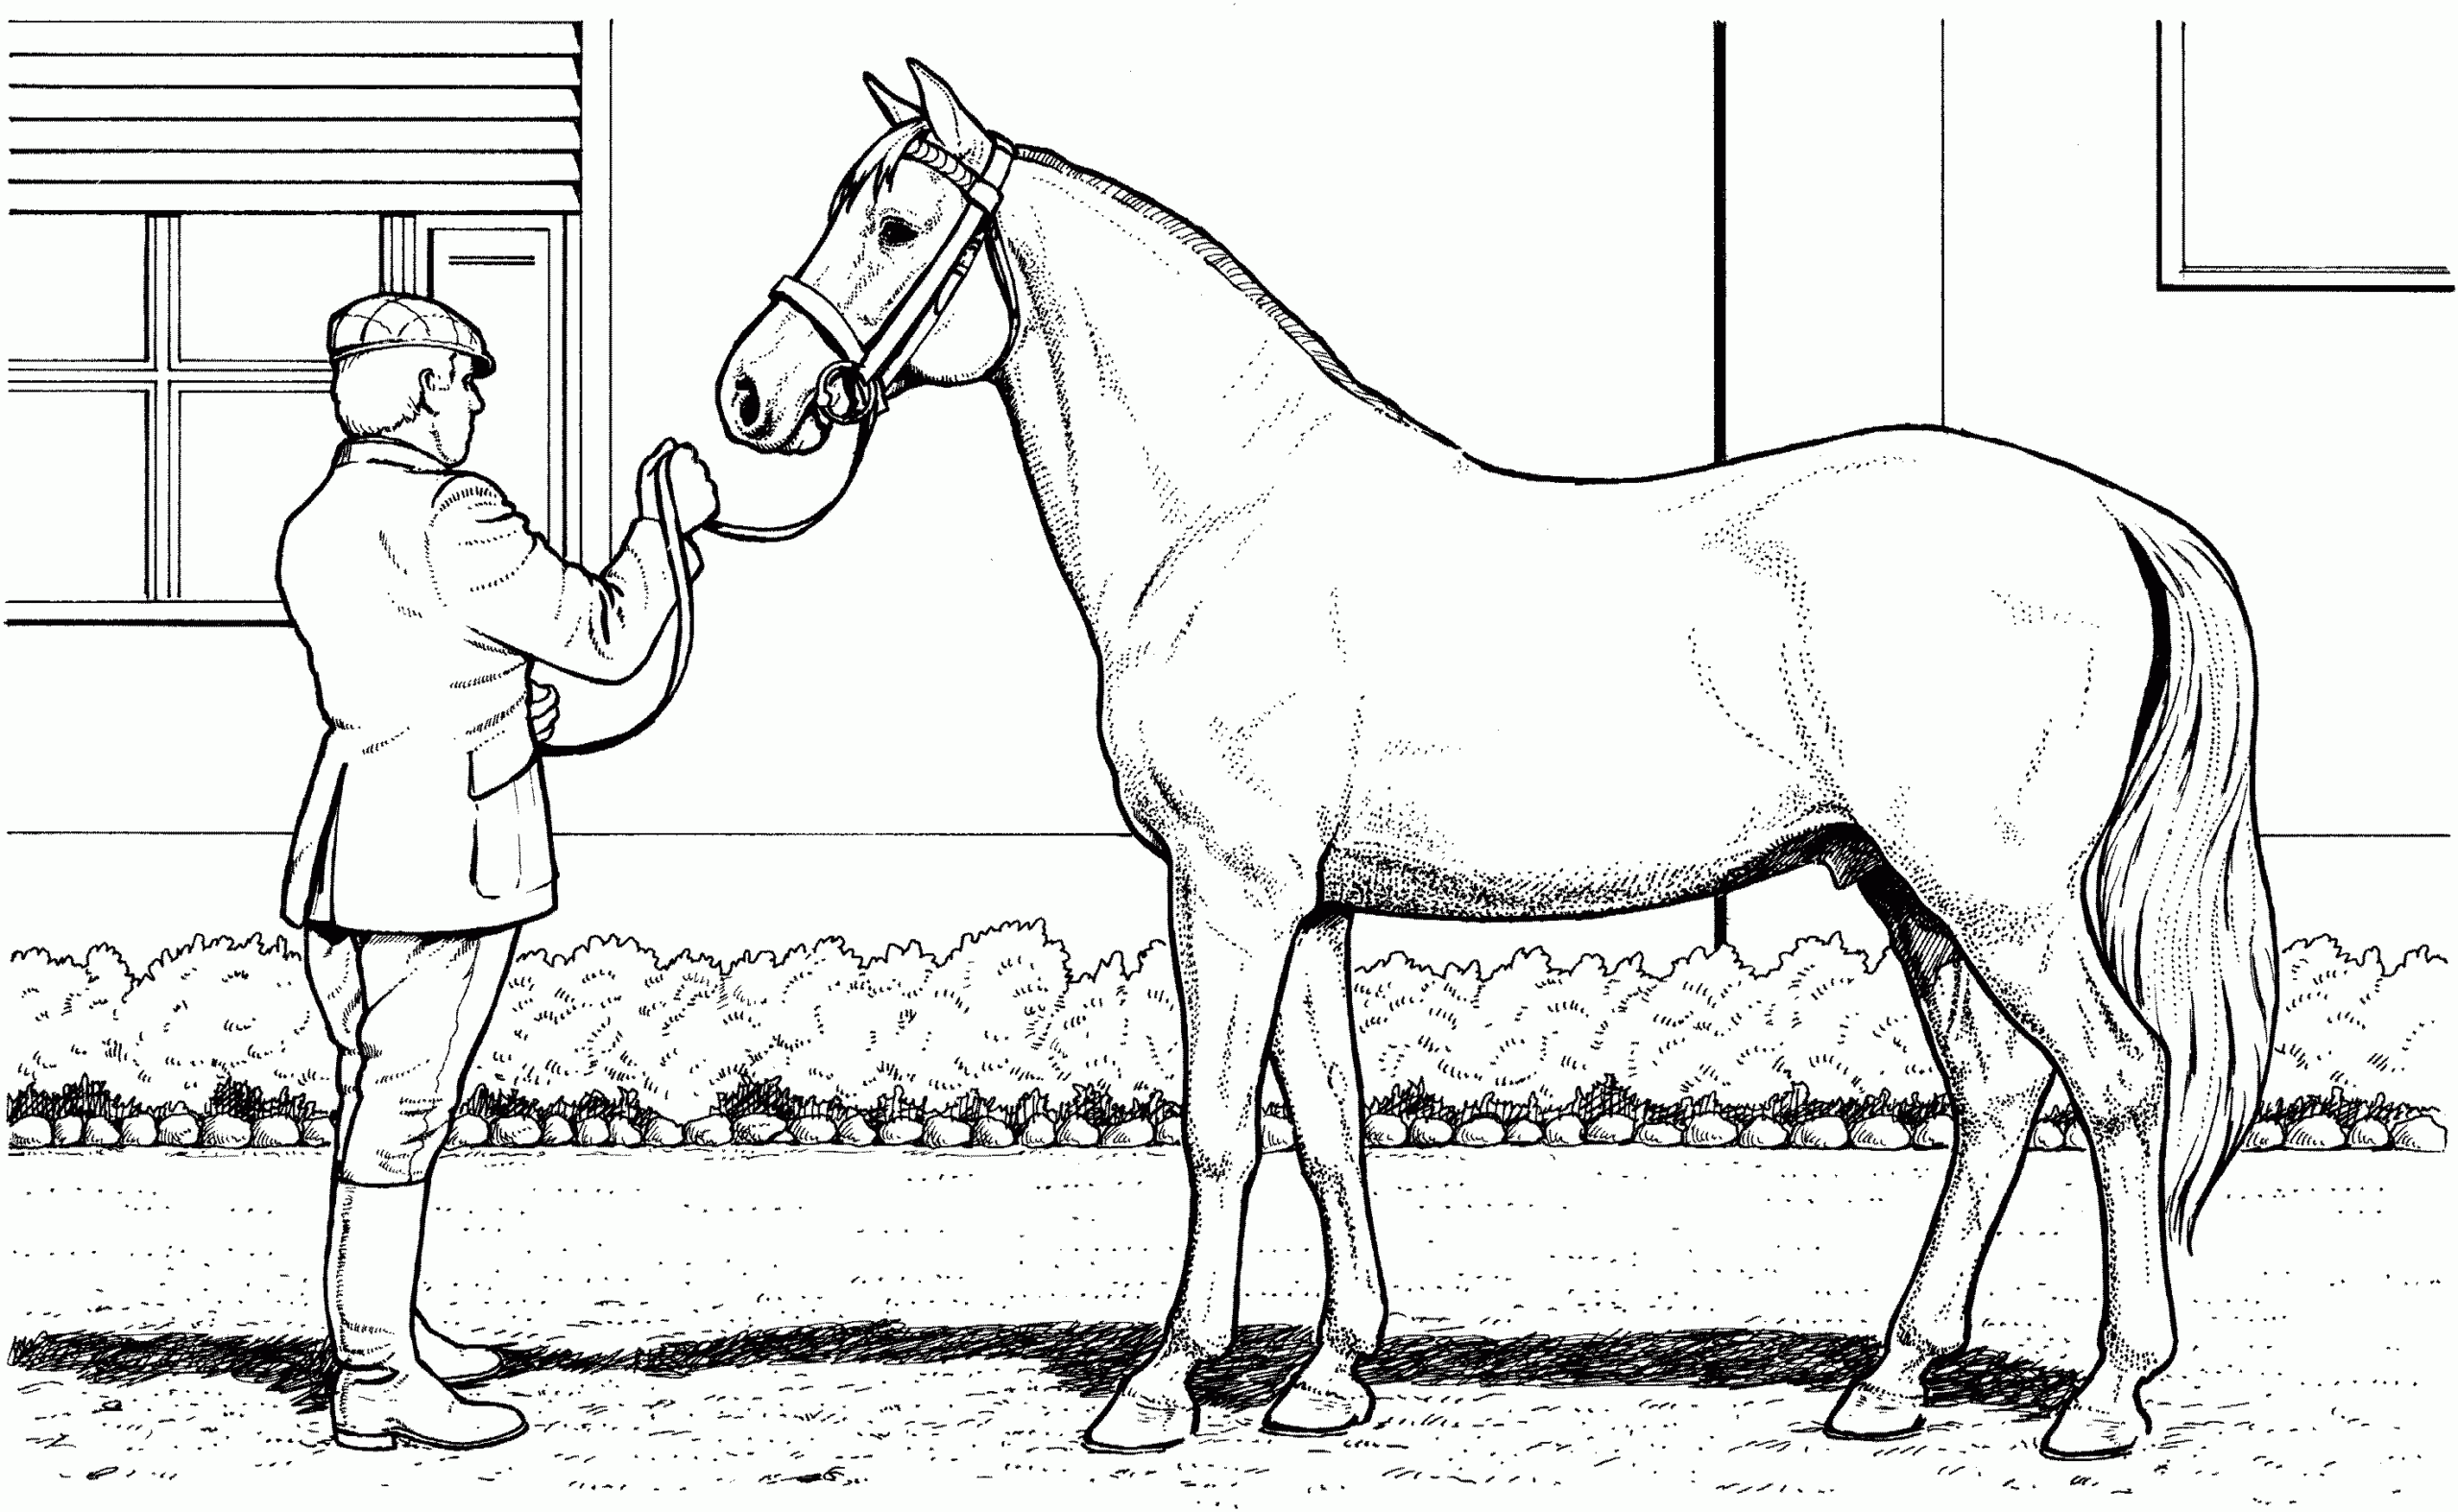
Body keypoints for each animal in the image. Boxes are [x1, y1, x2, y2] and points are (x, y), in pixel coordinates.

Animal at [713, 61, 2276, 1463]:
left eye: (897, 224)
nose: (751, 395)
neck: (1224, 514)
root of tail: (2108, 514)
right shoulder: (1310, 908)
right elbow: (1328, 1125)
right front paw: (1328, 1377)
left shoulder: (1228, 892)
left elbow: (1217, 1126)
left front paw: (1157, 1391)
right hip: (1912, 889)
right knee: (2000, 1092)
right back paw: (1888, 1381)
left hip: (1994, 891)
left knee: (2120, 1075)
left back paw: (2106, 1398)